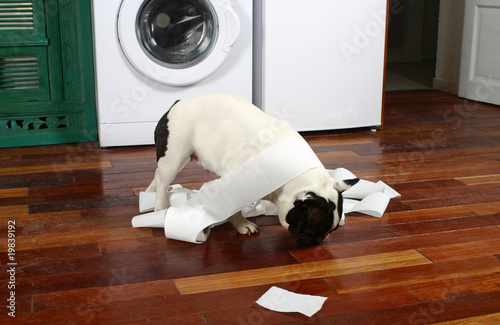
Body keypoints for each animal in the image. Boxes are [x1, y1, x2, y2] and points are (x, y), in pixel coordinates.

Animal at [146, 93, 360, 246]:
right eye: (312, 230)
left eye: (332, 231)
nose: (319, 241)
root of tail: (177, 103)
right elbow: (233, 208)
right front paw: (243, 225)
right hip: (174, 155)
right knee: (164, 181)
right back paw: (159, 208)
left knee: (157, 176)